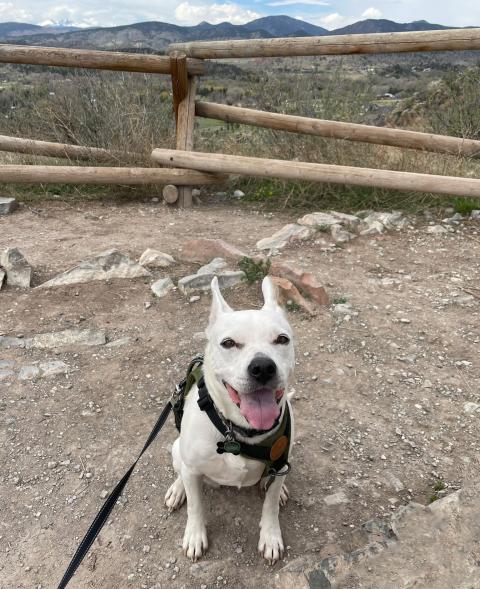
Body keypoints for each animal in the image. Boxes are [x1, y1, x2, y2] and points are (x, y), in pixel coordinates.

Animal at [165, 276, 294, 560]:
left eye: (282, 339)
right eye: (228, 343)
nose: (262, 367)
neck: (238, 431)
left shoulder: (280, 463)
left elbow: (270, 506)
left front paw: (270, 536)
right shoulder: (193, 469)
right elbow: (196, 506)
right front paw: (195, 535)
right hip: (177, 450)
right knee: (181, 472)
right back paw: (178, 489)